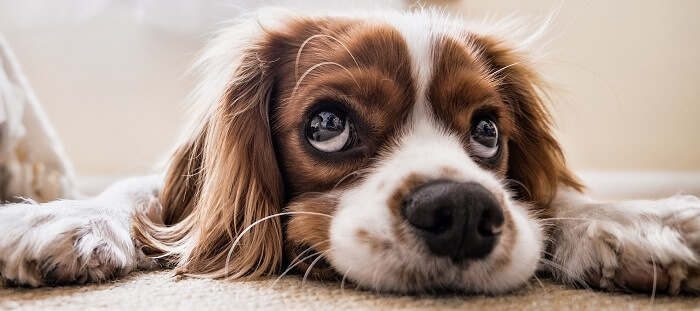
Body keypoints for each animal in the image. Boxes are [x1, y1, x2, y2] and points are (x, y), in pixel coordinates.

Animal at [1, 7, 700, 294]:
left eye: (487, 132)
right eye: (328, 124)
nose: (463, 212)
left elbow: (555, 200)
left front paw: (635, 222)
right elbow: (143, 194)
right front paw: (62, 217)